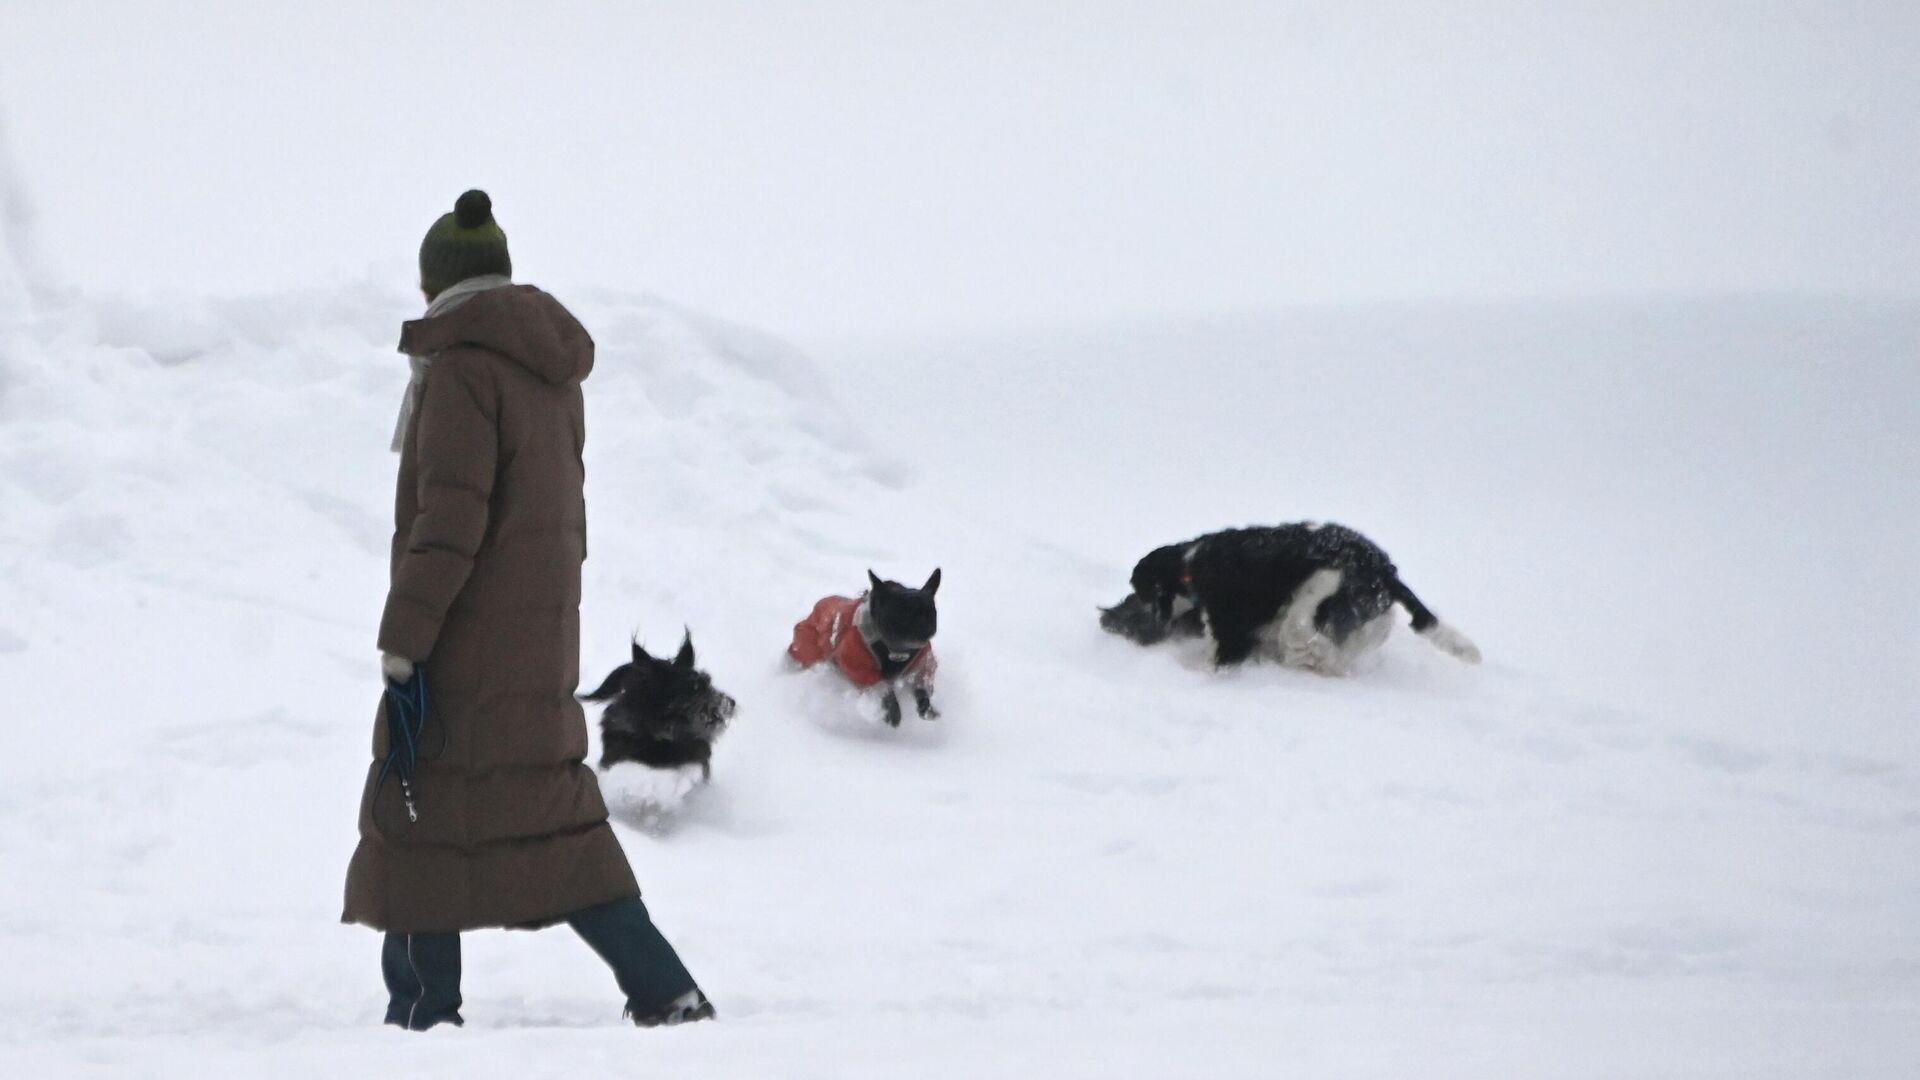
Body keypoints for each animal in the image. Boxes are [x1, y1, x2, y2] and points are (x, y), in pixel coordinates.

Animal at [791, 564, 940, 722]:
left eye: (930, 613)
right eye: (900, 614)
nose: (922, 628)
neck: (895, 650)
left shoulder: (923, 665)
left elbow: (921, 685)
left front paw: (926, 707)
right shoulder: (857, 667)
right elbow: (882, 687)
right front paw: (892, 710)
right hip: (808, 648)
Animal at [1098, 518, 1482, 668]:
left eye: (1138, 591)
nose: (1106, 618)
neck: (1191, 565)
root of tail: (1387, 573)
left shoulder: (1231, 628)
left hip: (1322, 587)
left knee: (1307, 633)